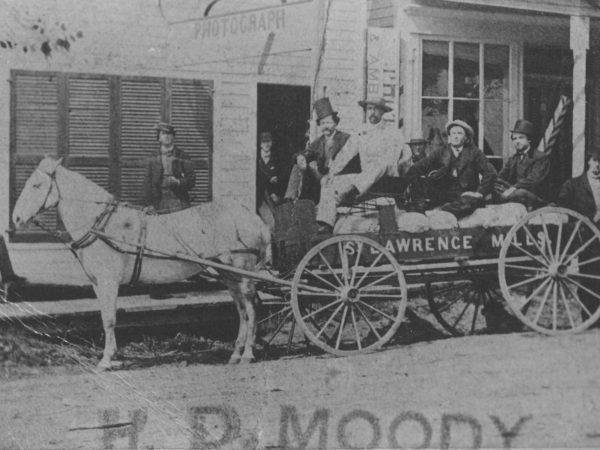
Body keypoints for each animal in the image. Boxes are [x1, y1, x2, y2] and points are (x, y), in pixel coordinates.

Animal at [12, 157, 270, 370]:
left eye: (36, 185)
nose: (15, 218)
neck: (103, 226)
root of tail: (254, 218)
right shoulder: (97, 284)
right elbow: (105, 317)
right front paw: (113, 357)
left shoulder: (109, 282)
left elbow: (110, 319)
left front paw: (106, 360)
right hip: (229, 274)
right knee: (242, 310)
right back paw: (235, 354)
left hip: (244, 271)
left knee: (252, 307)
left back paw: (248, 354)